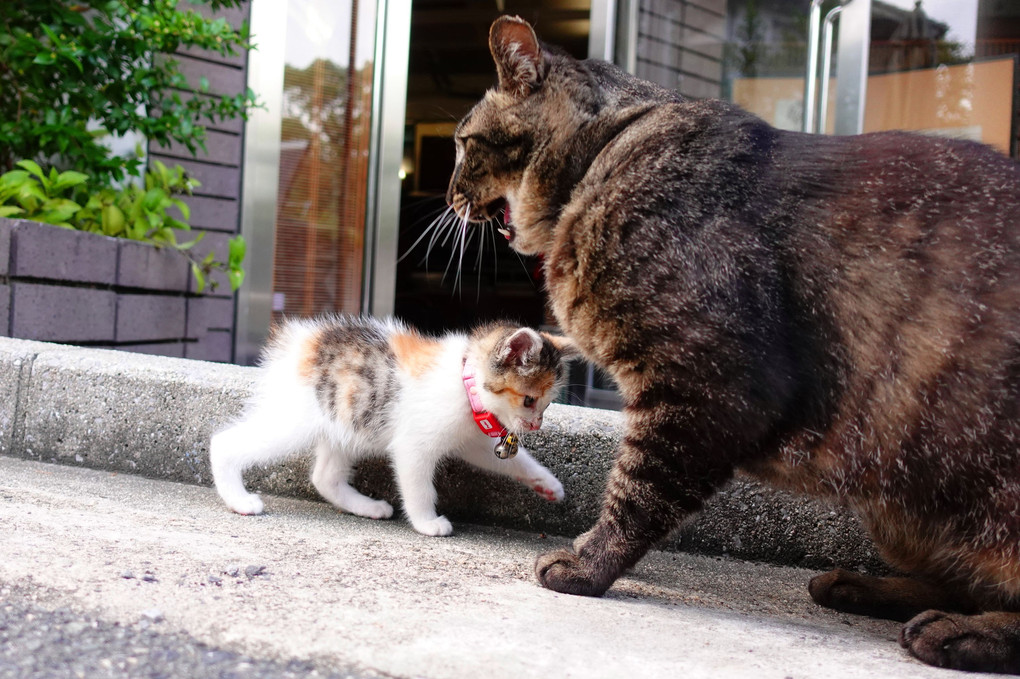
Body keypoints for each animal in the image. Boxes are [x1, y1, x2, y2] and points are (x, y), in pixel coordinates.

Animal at [209, 314, 575, 538]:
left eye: (547, 404)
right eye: (529, 400)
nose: (536, 424)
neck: (464, 382)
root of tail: (302, 341)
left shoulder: (470, 438)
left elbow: (510, 460)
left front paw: (547, 484)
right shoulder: (414, 443)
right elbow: (418, 485)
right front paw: (427, 522)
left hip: (347, 419)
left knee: (324, 477)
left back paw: (367, 507)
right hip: (295, 420)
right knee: (224, 443)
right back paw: (239, 501)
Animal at [448, 15, 1020, 672]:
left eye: (463, 142)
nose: (448, 193)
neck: (607, 155)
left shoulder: (709, 386)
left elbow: (637, 490)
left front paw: (588, 564)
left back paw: (961, 632)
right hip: (896, 504)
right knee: (955, 580)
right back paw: (862, 587)